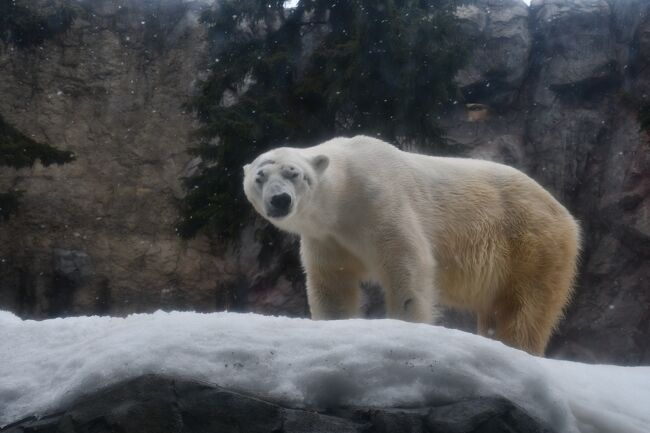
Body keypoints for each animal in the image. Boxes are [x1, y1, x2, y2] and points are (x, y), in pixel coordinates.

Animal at [242, 135, 576, 354]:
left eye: (294, 173)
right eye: (260, 177)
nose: (280, 199)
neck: (343, 197)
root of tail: (565, 214)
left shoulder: (379, 201)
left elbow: (407, 262)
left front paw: (406, 328)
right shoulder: (327, 238)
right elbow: (333, 284)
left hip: (531, 242)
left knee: (525, 305)